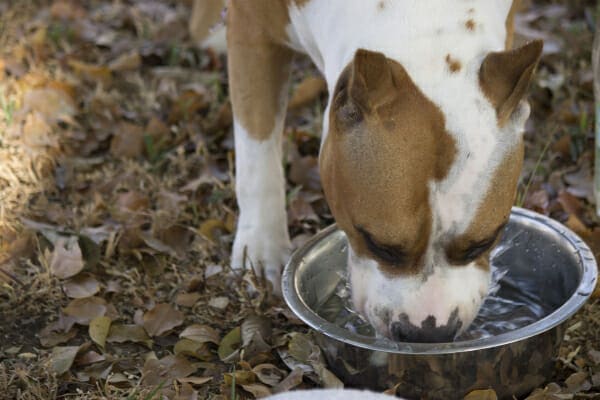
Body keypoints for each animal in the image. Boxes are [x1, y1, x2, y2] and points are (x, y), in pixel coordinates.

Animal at [191, 0, 540, 344]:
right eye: (378, 244)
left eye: (484, 243)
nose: (428, 333)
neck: (422, 14)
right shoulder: (252, 29)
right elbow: (256, 151)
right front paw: (262, 247)